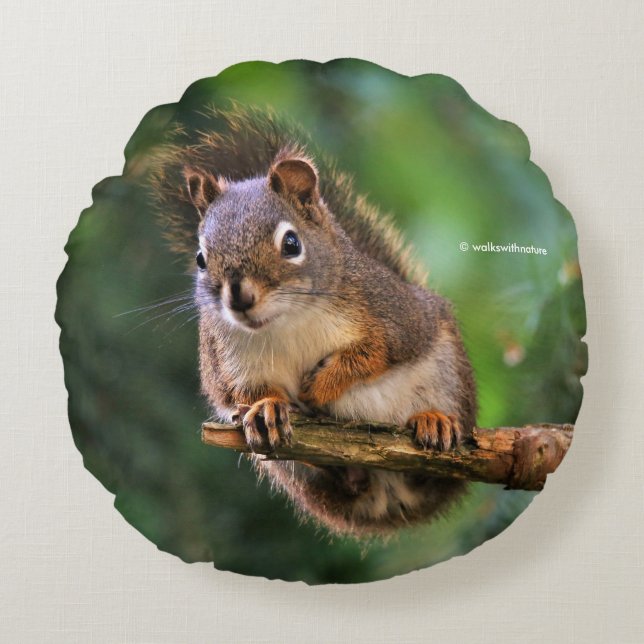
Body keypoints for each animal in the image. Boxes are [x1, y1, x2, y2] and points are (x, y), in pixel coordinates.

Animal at [149, 105, 477, 538]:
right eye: (201, 258)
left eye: (291, 244)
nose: (239, 298)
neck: (285, 322)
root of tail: (391, 502)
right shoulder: (225, 360)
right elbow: (238, 393)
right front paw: (267, 408)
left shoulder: (395, 315)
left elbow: (376, 352)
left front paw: (323, 385)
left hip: (448, 373)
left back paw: (435, 422)